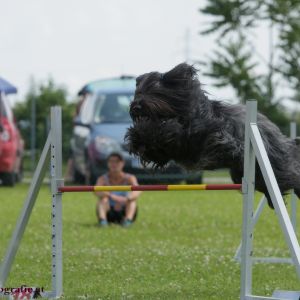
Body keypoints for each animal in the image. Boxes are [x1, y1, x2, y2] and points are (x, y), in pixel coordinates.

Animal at [125, 62, 300, 209]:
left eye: (155, 91)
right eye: (138, 92)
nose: (136, 106)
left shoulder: (209, 136)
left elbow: (171, 132)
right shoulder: (171, 149)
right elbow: (157, 145)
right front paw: (136, 138)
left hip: (272, 163)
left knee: (289, 174)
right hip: (244, 173)